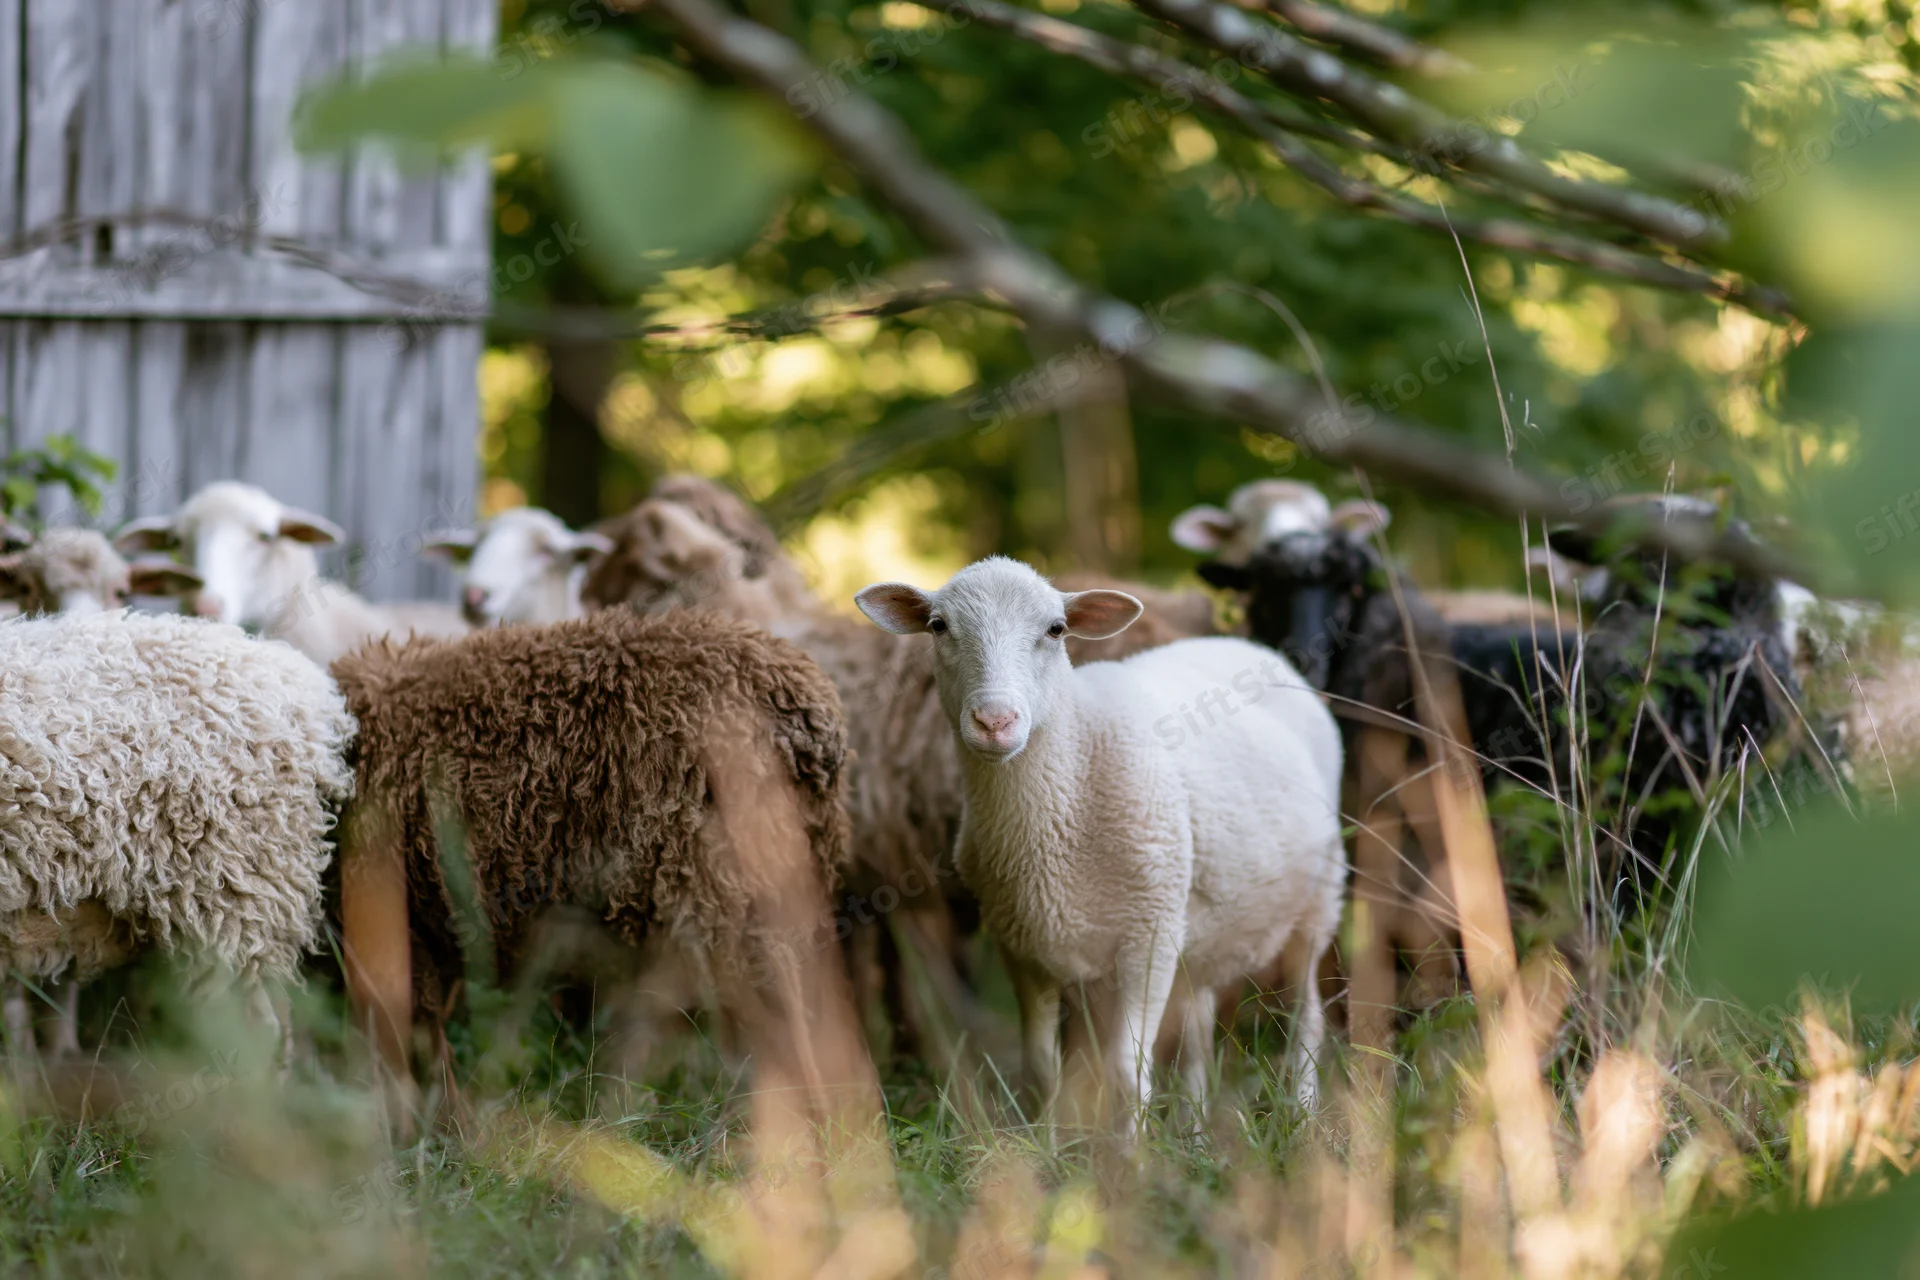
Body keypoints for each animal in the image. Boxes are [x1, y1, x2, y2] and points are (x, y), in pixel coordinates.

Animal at [855, 558, 1347, 1127]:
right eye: (938, 626)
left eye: (1056, 629)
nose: (995, 722)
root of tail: (1252, 649)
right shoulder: (1022, 946)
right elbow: (1043, 1069)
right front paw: (1047, 1143)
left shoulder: (1147, 940)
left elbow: (1126, 1074)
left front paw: (1131, 1153)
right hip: (1198, 931)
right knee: (1198, 1032)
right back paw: (1196, 1130)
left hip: (1317, 899)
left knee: (1306, 1019)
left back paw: (1304, 1118)